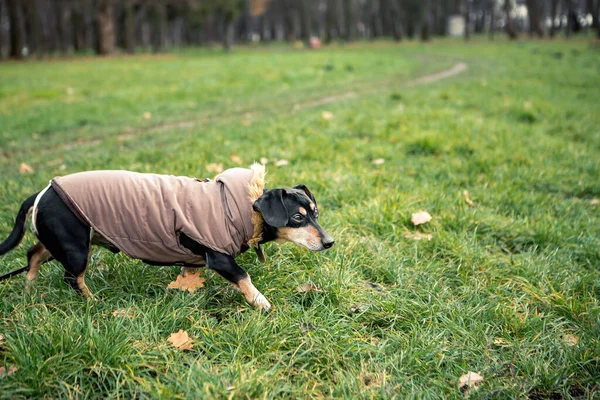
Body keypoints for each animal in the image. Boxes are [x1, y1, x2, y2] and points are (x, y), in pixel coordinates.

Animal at [0, 164, 332, 310]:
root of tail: (41, 193)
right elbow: (244, 277)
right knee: (72, 278)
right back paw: (94, 302)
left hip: (62, 241)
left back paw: (29, 289)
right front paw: (261, 303)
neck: (244, 206)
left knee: (33, 253)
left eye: (316, 212)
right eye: (298, 217)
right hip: (76, 248)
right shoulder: (219, 258)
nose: (329, 242)